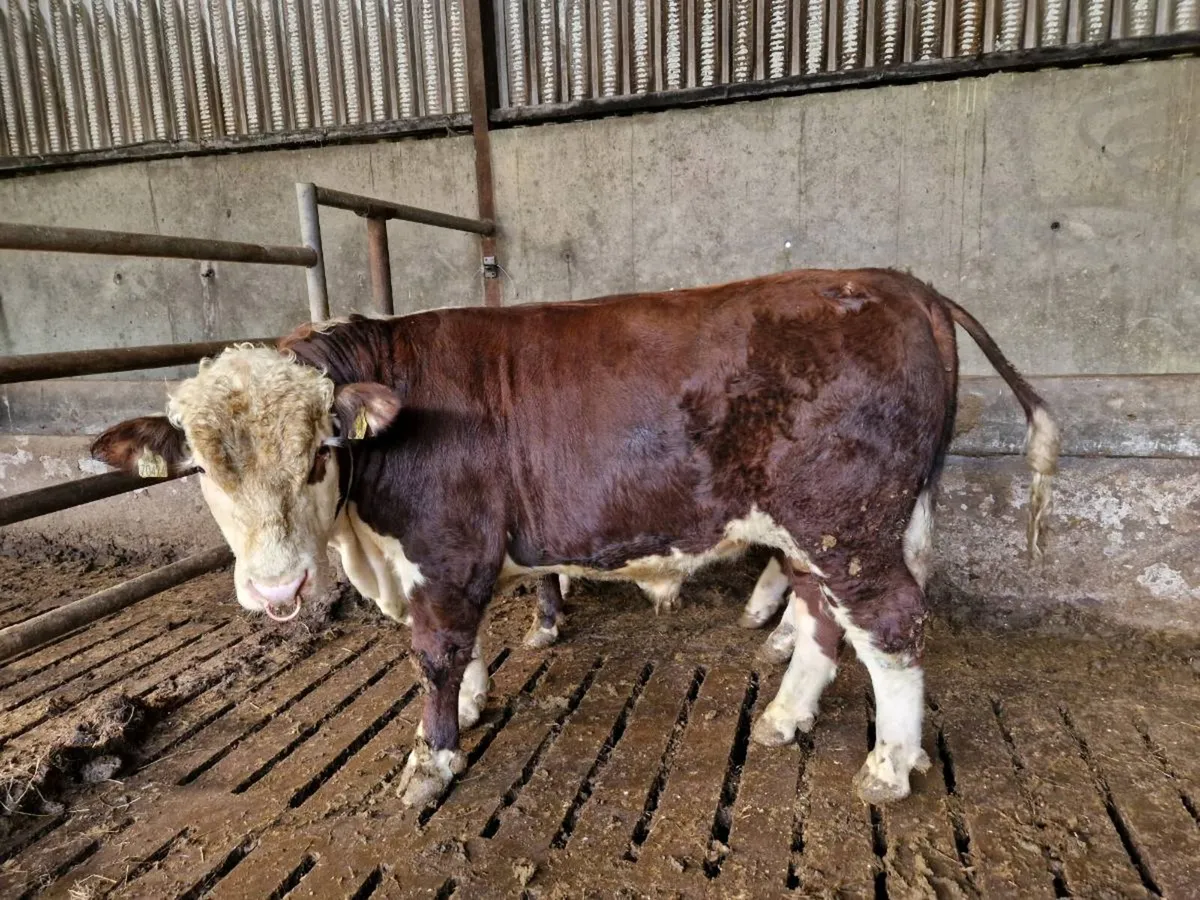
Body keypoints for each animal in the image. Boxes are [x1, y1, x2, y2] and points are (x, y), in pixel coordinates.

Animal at [91, 268, 1059, 809]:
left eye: (321, 448)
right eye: (202, 468)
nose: (276, 590)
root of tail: (902, 285)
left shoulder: (449, 546)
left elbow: (435, 652)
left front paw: (432, 759)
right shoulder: (445, 555)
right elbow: (464, 642)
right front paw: (473, 702)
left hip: (846, 517)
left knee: (889, 626)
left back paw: (890, 766)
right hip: (820, 526)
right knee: (828, 614)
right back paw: (787, 716)